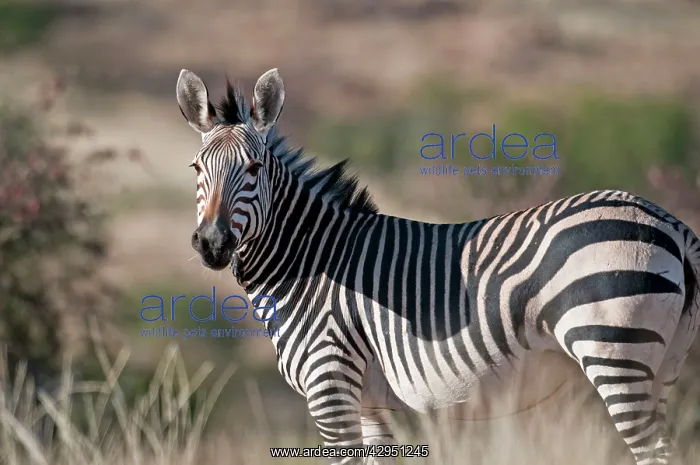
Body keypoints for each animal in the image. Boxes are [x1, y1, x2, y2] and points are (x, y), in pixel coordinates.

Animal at [176, 67, 700, 465]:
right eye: (197, 169)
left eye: (254, 169)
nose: (212, 243)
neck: (311, 261)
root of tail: (671, 224)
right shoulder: (371, 403)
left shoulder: (330, 386)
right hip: (664, 365)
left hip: (615, 352)